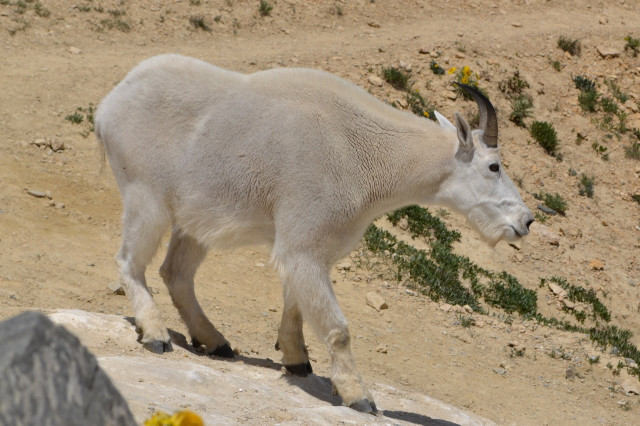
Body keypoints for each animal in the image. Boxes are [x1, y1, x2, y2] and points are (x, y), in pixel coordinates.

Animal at [96, 53, 536, 412]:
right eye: (494, 166)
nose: (526, 221)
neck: (368, 154)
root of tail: (107, 105)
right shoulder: (304, 244)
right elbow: (338, 328)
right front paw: (359, 396)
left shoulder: (306, 250)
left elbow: (296, 305)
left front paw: (295, 359)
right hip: (146, 194)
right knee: (130, 261)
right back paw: (155, 334)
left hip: (194, 218)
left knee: (176, 273)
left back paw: (215, 341)